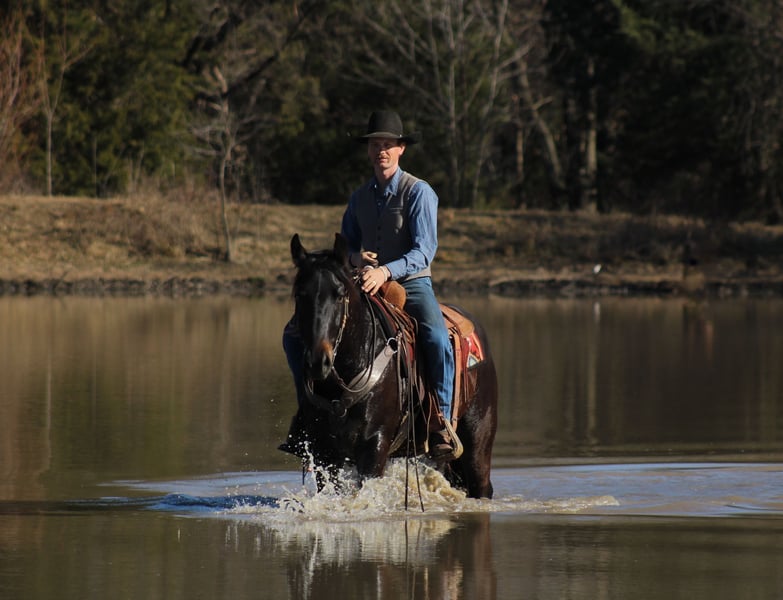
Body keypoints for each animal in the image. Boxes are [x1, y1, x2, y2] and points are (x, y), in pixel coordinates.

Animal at [281, 233, 498, 499]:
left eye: (340, 294)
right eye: (300, 295)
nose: (318, 361)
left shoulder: (375, 443)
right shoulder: (324, 452)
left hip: (478, 442)